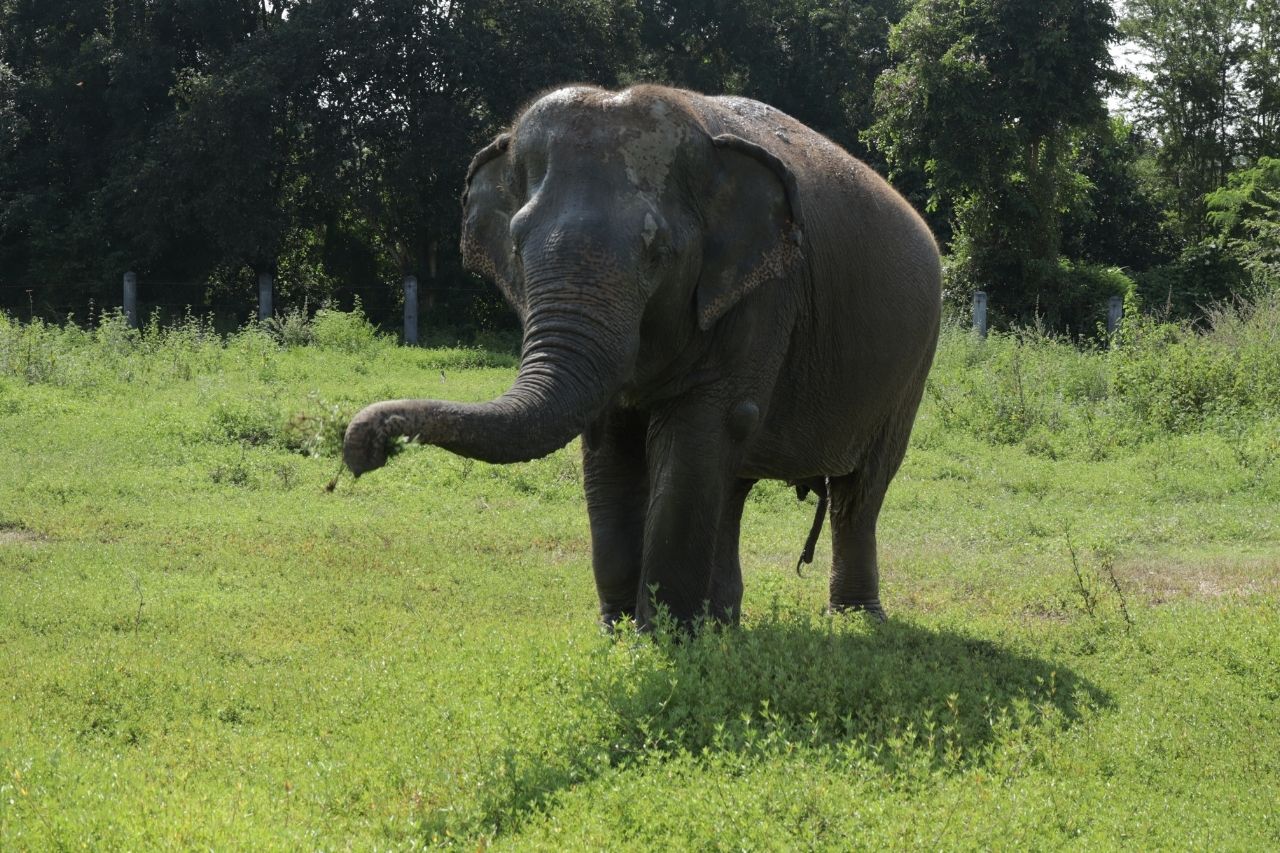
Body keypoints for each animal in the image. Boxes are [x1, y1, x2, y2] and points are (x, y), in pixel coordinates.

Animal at [343, 84, 942, 625]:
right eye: (516, 243)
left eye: (658, 253)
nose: (362, 447)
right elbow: (610, 450)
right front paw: (622, 631)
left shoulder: (764, 298)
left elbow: (698, 436)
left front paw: (663, 640)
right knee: (735, 485)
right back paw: (723, 624)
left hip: (911, 367)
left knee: (860, 491)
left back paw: (857, 620)